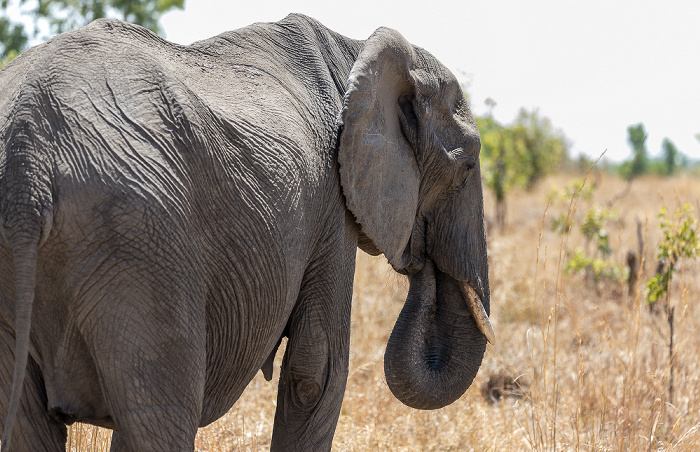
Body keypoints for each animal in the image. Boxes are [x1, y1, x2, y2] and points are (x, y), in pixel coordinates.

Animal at [0, 12, 494, 450]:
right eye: (468, 166)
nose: (422, 259)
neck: (356, 50)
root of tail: (28, 155)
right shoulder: (332, 207)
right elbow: (316, 372)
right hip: (137, 238)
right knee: (160, 415)